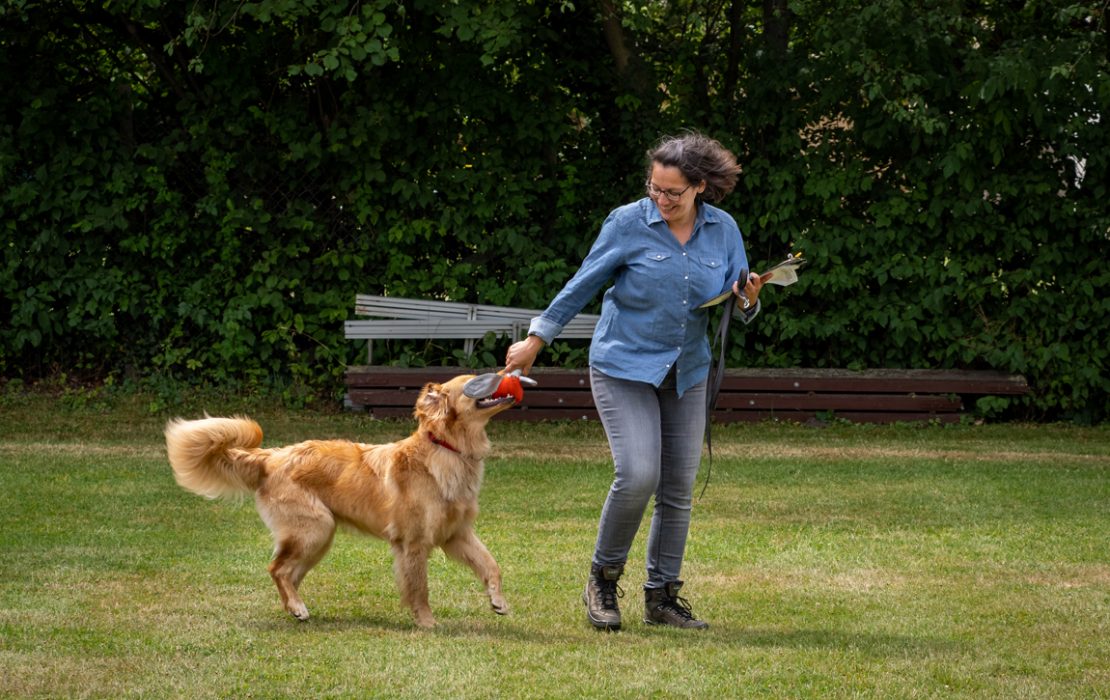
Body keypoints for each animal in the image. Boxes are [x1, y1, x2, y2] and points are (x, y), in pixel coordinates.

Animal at [164, 374, 519, 625]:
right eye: (474, 381)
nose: (507, 372)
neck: (447, 450)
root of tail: (272, 457)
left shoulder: (456, 534)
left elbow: (491, 564)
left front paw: (498, 600)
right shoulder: (413, 543)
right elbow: (419, 589)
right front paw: (427, 623)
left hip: (319, 537)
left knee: (288, 572)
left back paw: (295, 608)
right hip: (315, 529)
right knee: (277, 568)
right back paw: (297, 606)